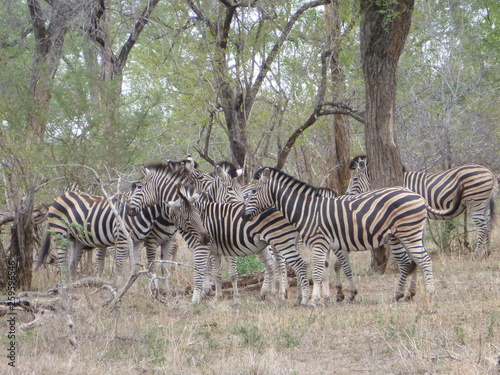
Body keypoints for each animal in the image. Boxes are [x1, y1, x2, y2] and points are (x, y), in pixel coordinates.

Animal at [35, 189, 176, 284]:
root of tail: (60, 196)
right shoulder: (128, 239)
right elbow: (126, 265)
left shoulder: (141, 241)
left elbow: (142, 267)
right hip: (61, 234)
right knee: (63, 263)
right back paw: (65, 289)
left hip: (77, 239)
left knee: (72, 264)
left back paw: (73, 287)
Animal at [127, 164, 310, 306]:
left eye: (138, 187)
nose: (129, 209)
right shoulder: (214, 249)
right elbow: (216, 274)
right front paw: (217, 298)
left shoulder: (201, 247)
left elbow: (199, 271)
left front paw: (196, 300)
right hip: (276, 242)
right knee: (280, 265)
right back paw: (283, 296)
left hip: (281, 240)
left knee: (292, 265)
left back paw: (296, 298)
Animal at [242, 168, 464, 308]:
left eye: (252, 192)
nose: (244, 216)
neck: (307, 210)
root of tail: (419, 196)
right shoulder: (326, 244)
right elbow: (324, 271)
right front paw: (325, 298)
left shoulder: (319, 242)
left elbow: (317, 272)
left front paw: (313, 301)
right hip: (402, 235)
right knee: (410, 262)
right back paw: (400, 295)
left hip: (409, 233)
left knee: (423, 260)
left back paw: (430, 294)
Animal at [346, 156, 498, 258]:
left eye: (354, 180)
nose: (346, 194)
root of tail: (489, 172)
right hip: (483, 203)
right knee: (488, 224)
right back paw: (487, 252)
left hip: (475, 201)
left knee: (482, 227)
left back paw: (476, 254)